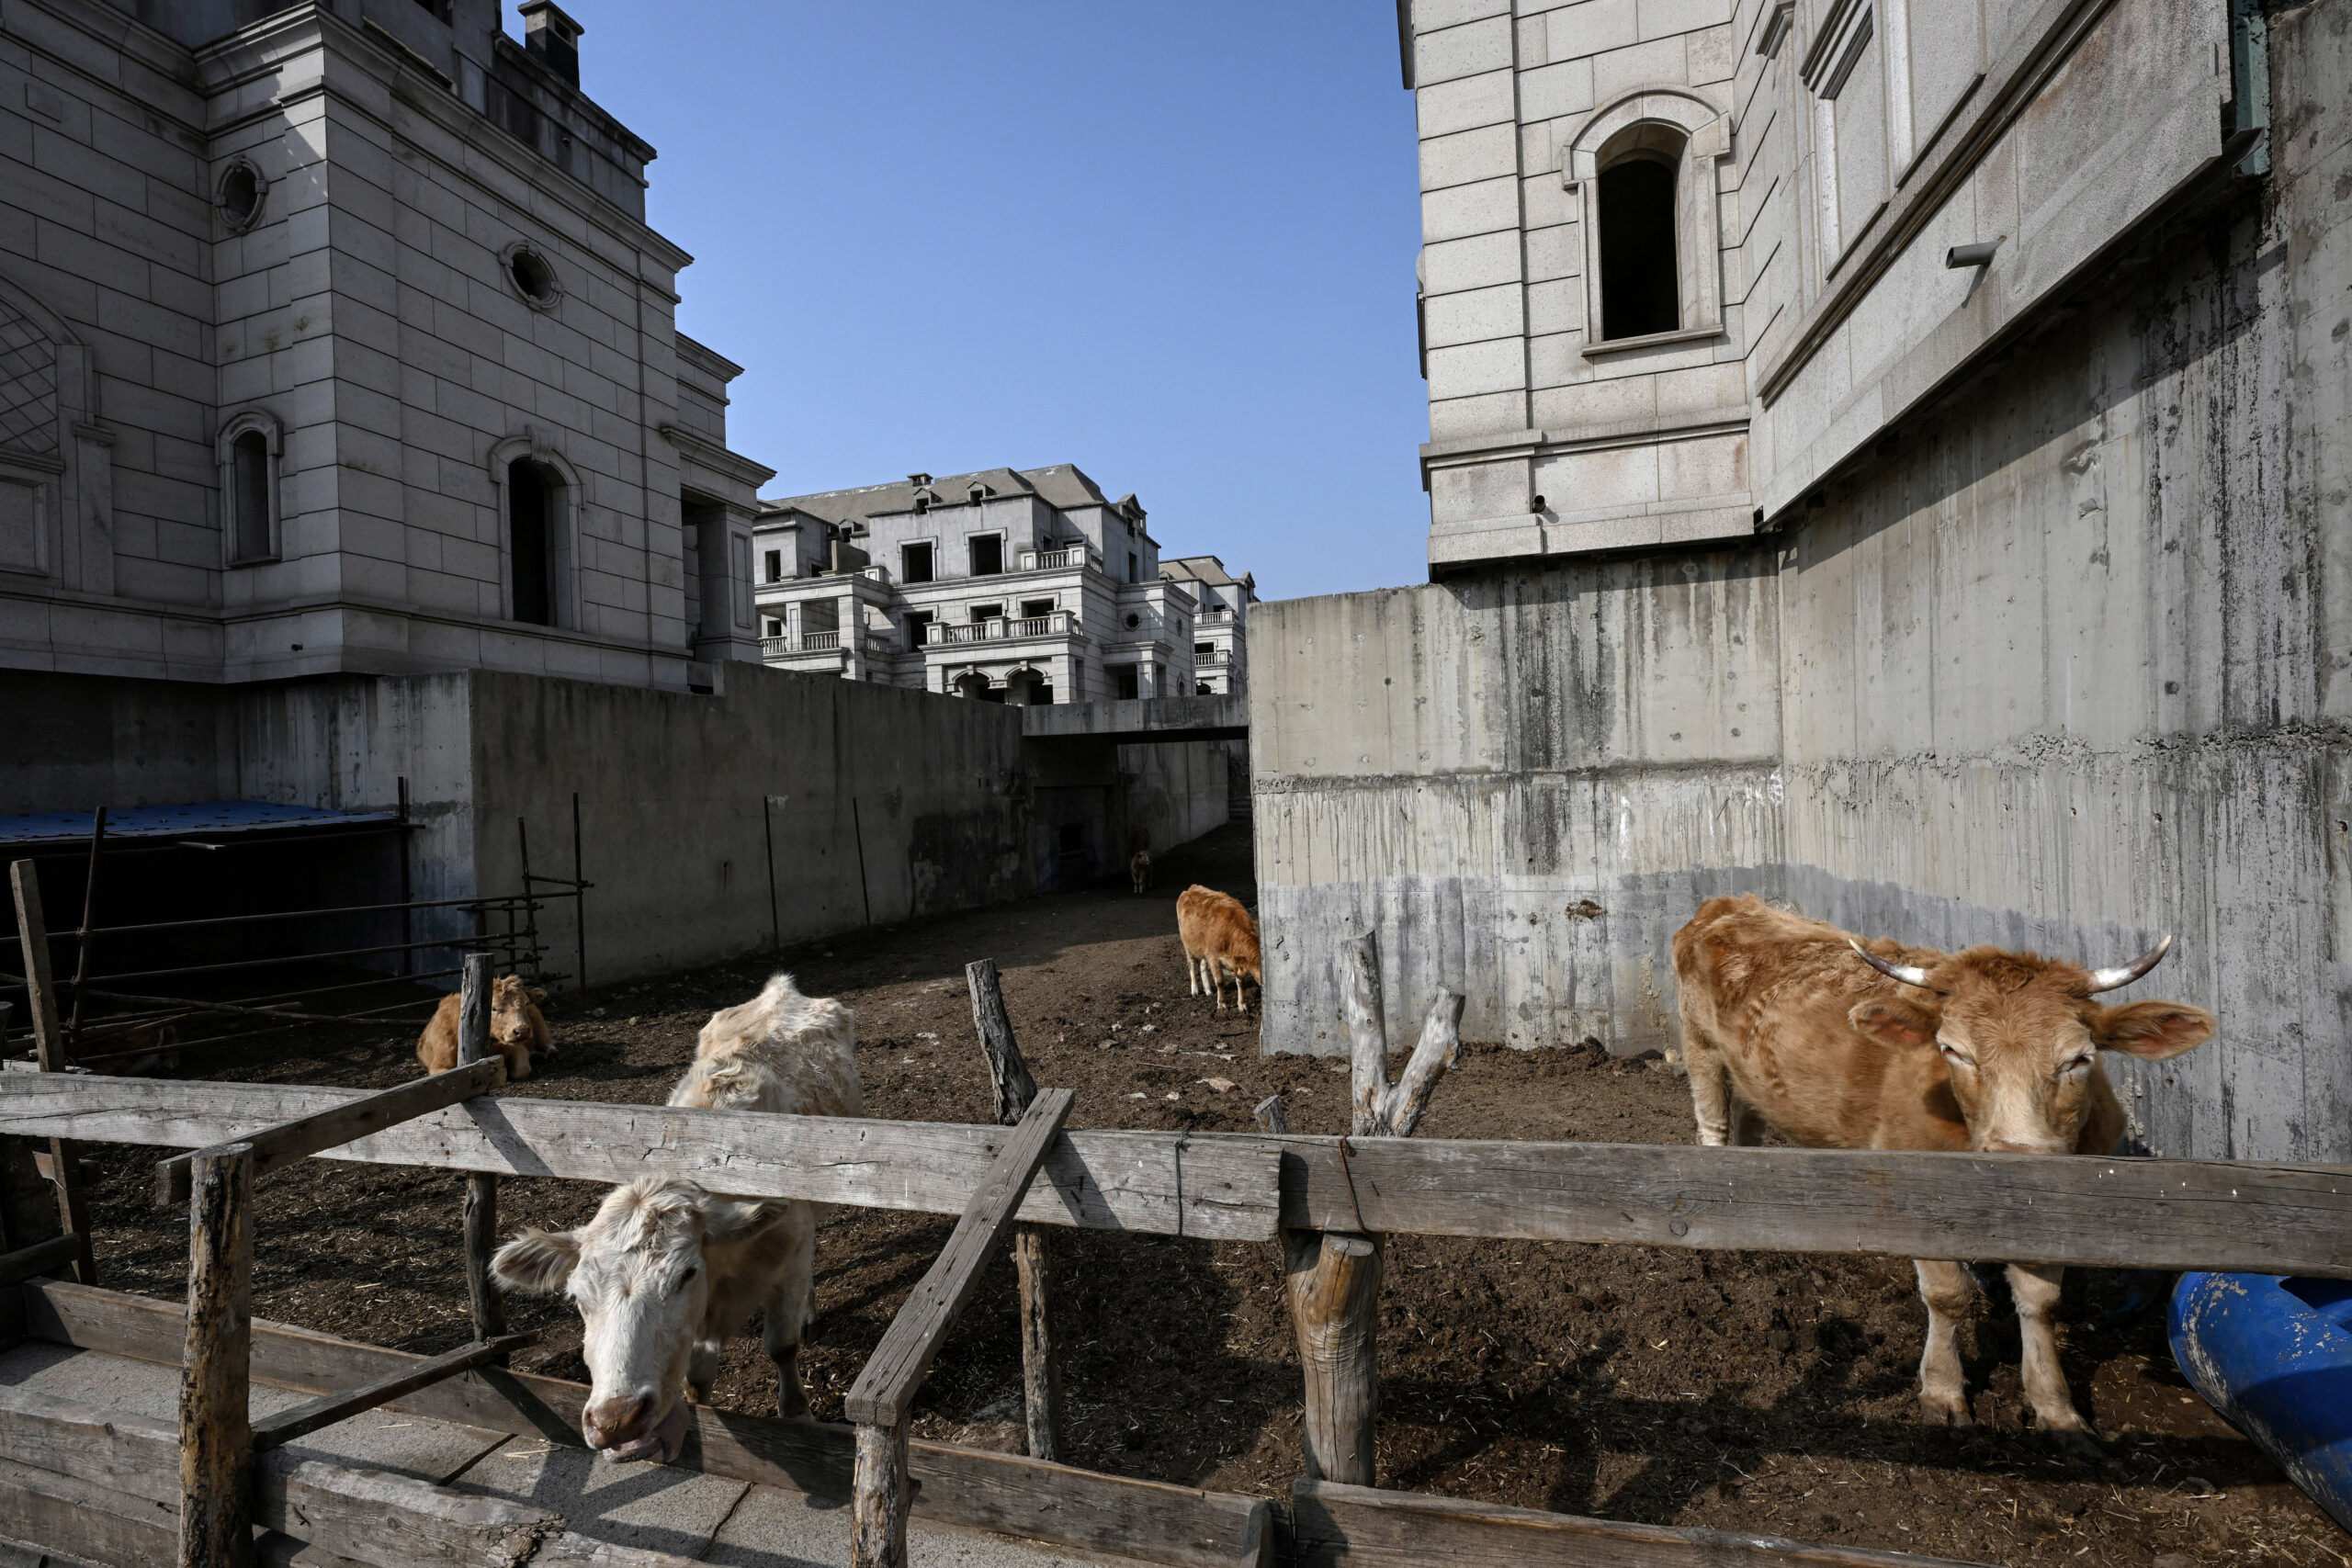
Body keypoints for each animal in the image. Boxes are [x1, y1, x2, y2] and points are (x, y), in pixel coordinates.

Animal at [418, 973, 550, 1086]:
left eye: (526, 1003)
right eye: (493, 1008)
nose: (522, 1031)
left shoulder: (517, 1048)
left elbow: (522, 1069)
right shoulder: (439, 1065)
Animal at [496, 973, 865, 1466]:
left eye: (686, 1275)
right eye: (577, 1297)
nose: (615, 1419)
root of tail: (780, 988)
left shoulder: (790, 1254)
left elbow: (783, 1346)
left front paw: (798, 1415)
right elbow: (696, 1376)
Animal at [1176, 884, 1270, 1020]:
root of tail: (1192, 888)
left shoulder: (1236, 962)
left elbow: (1240, 982)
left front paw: (1242, 1005)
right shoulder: (1213, 958)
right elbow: (1220, 982)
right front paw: (1222, 1004)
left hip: (1203, 949)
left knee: (1202, 966)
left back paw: (1208, 990)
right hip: (1188, 945)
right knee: (1192, 965)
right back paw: (1195, 990)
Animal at [1665, 888, 2211, 1457]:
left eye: (2078, 1060)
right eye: (1954, 1050)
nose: (2015, 1158)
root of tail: (1730, 903)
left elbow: (2040, 1302)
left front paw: (2057, 1411)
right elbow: (1949, 1296)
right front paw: (1945, 1392)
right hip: (1700, 1046)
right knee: (1713, 1125)